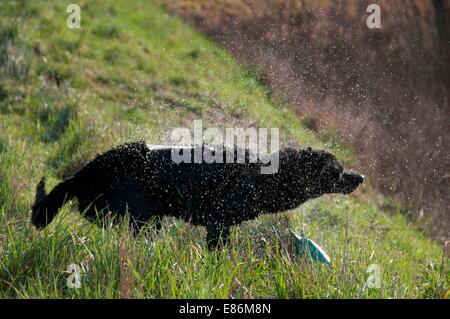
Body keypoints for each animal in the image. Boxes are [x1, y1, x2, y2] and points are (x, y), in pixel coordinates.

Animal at [31, 142, 364, 250]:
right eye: (336, 171)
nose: (360, 177)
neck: (264, 176)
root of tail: (87, 171)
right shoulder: (218, 224)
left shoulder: (222, 227)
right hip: (139, 211)